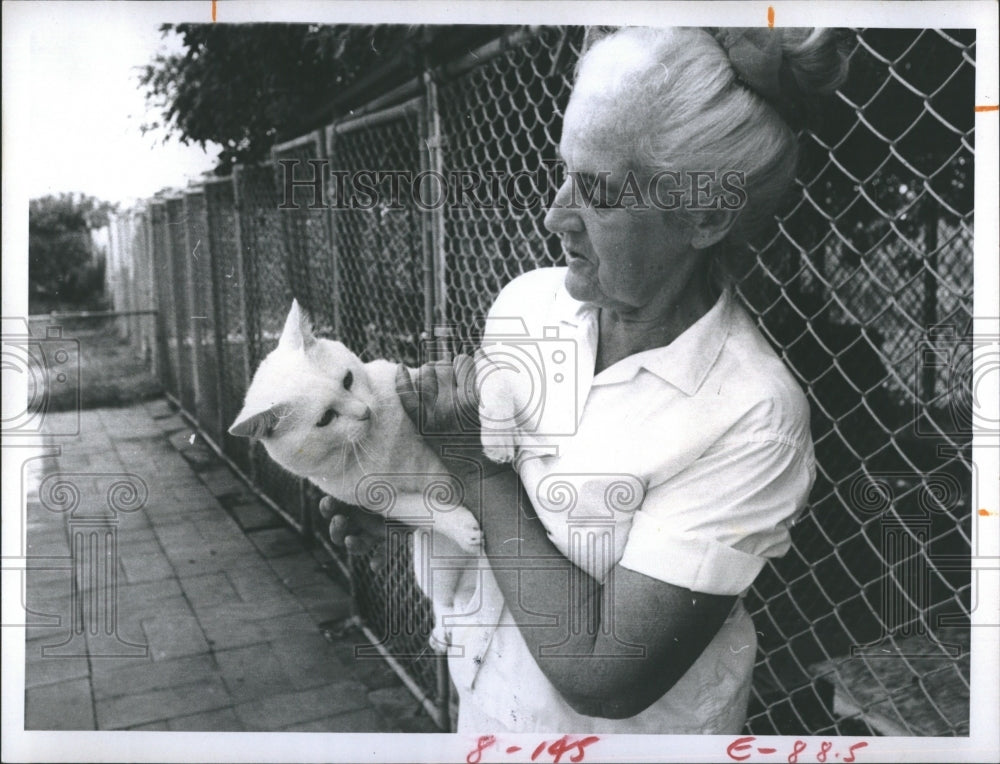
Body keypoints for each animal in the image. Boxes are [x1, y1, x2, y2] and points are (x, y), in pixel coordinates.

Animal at [234, 302, 484, 648]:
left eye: (348, 380)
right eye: (326, 418)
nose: (364, 411)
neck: (375, 443)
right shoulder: (374, 497)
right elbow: (420, 508)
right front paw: (460, 525)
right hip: (435, 565)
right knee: (443, 600)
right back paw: (443, 628)